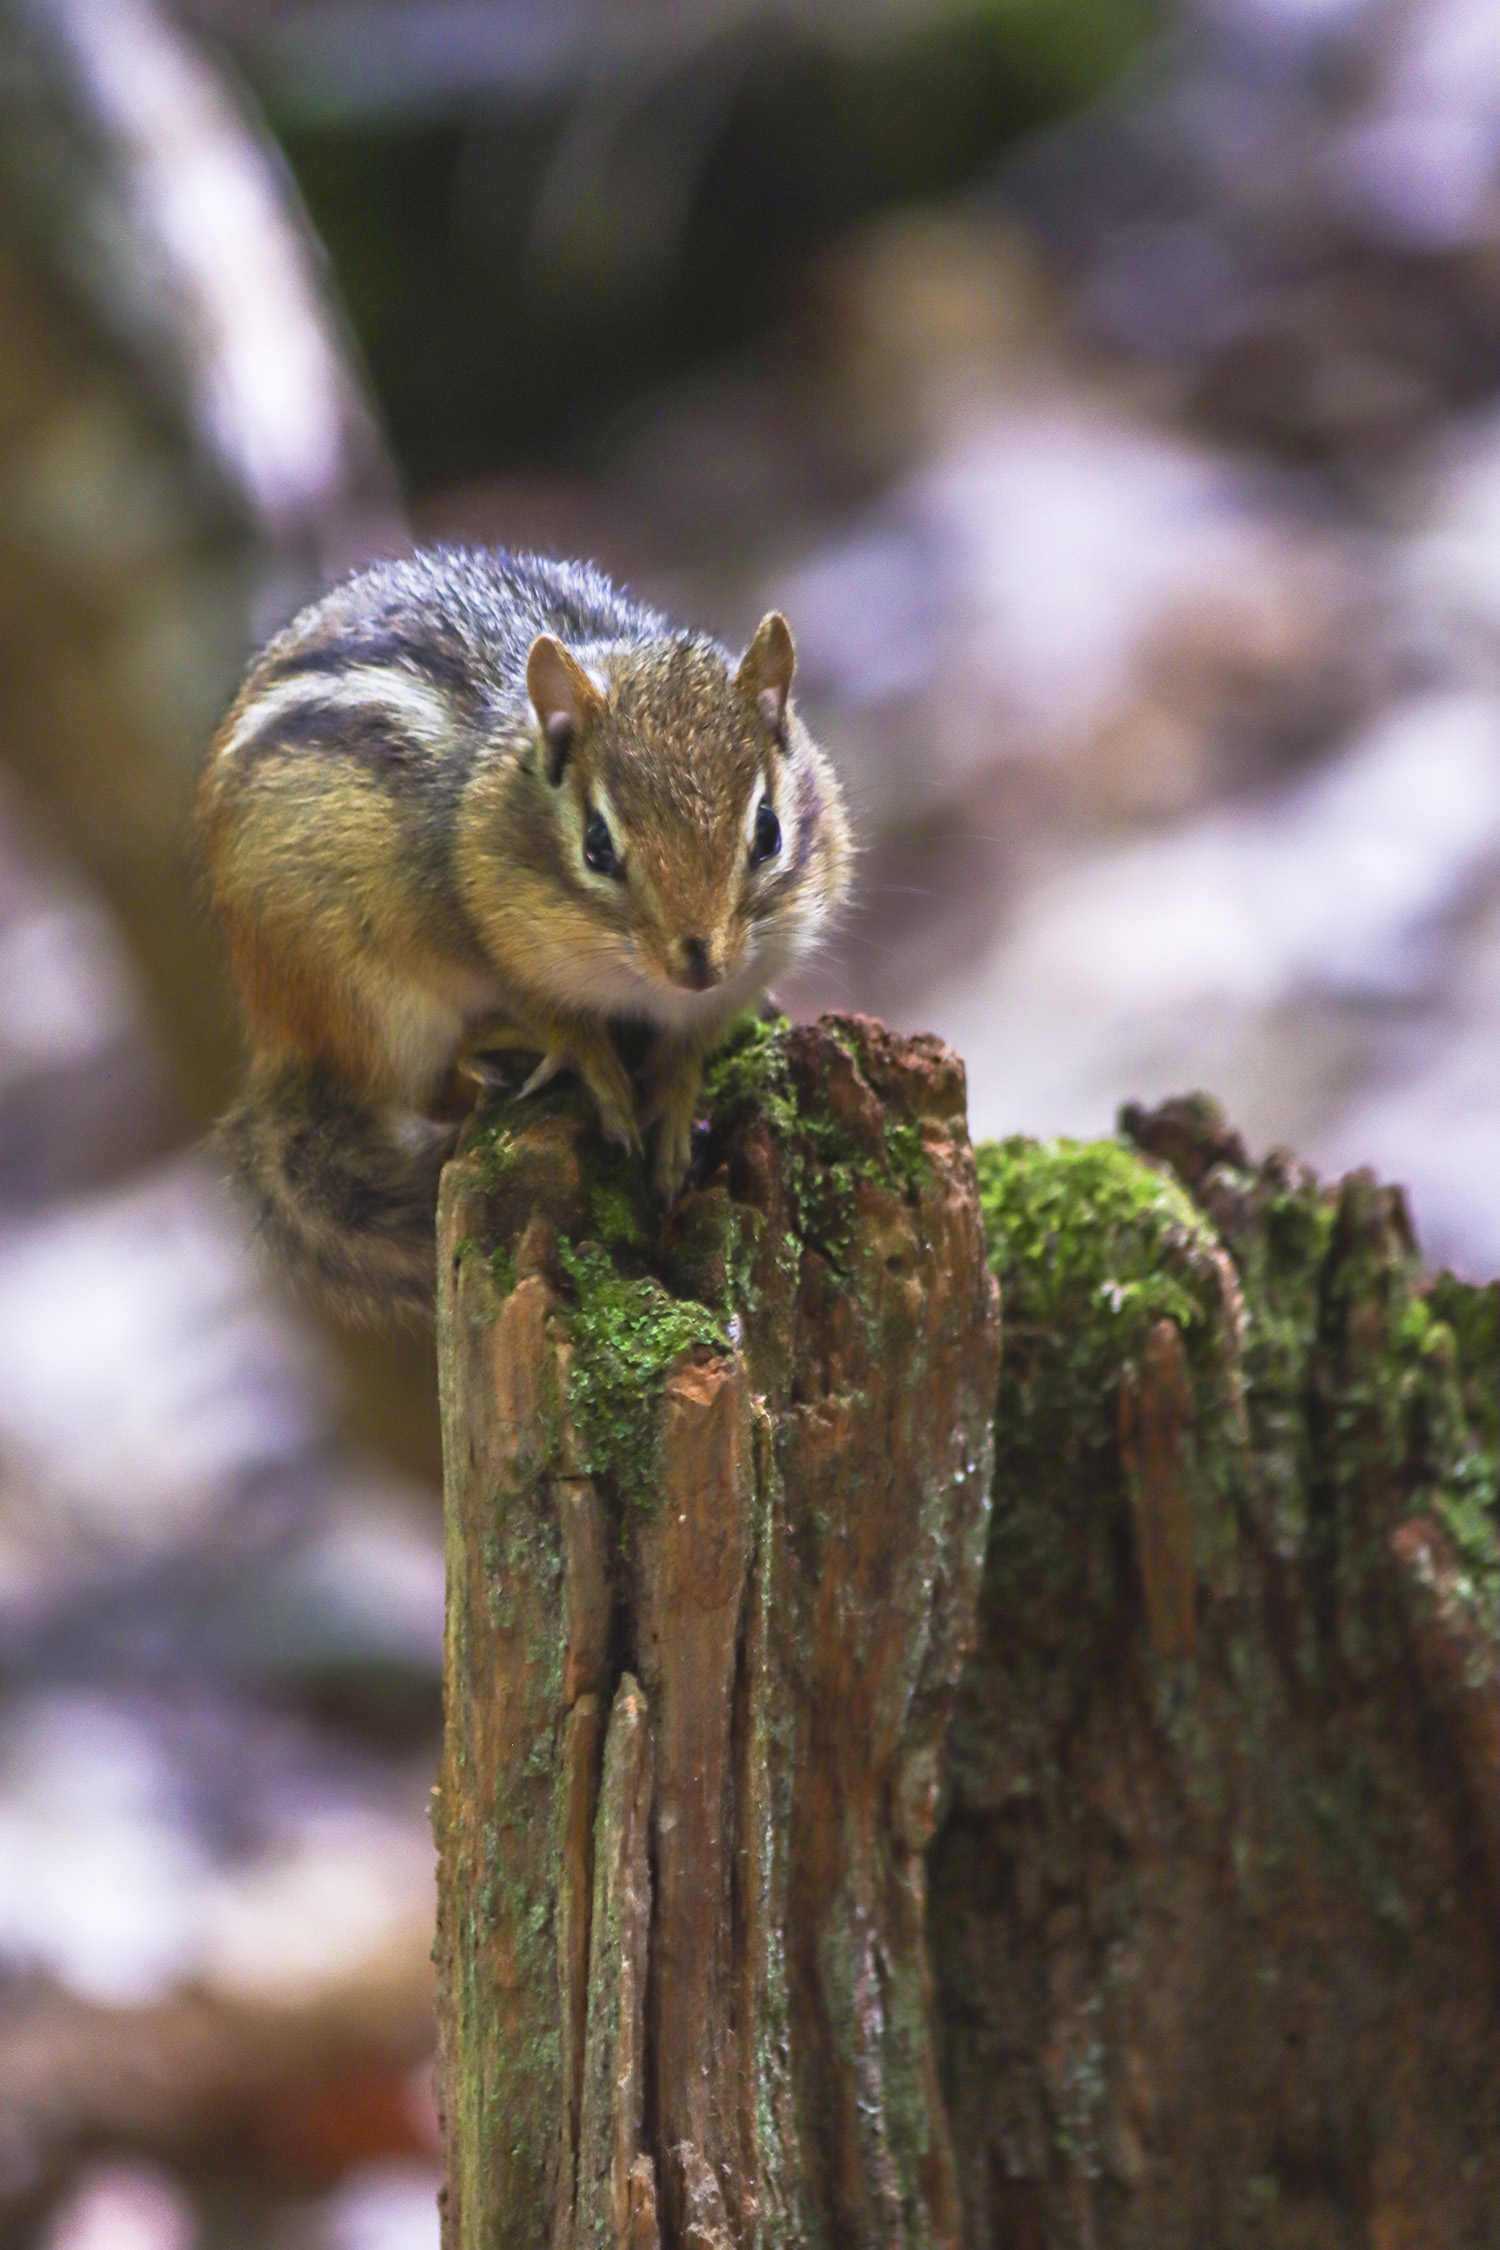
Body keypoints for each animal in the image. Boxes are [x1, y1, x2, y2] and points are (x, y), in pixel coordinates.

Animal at [199, 546, 852, 1326]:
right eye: (598, 846)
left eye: (768, 832)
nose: (699, 965)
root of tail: (279, 1036)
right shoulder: (479, 937)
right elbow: (546, 1012)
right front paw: (594, 1068)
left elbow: (691, 1045)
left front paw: (673, 1102)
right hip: (365, 1000)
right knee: (425, 1092)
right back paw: (493, 1050)